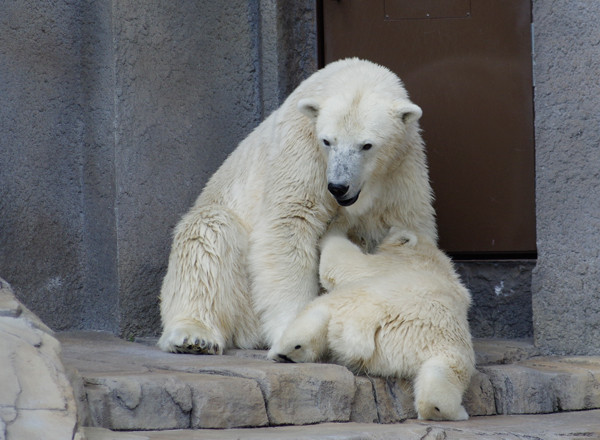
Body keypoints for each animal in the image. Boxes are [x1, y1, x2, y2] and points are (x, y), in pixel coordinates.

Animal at [158, 57, 436, 354]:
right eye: (328, 141)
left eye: (366, 145)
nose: (338, 186)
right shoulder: (302, 149)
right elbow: (290, 222)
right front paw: (293, 331)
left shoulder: (401, 167)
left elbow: (407, 227)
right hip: (240, 285)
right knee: (207, 236)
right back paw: (193, 336)